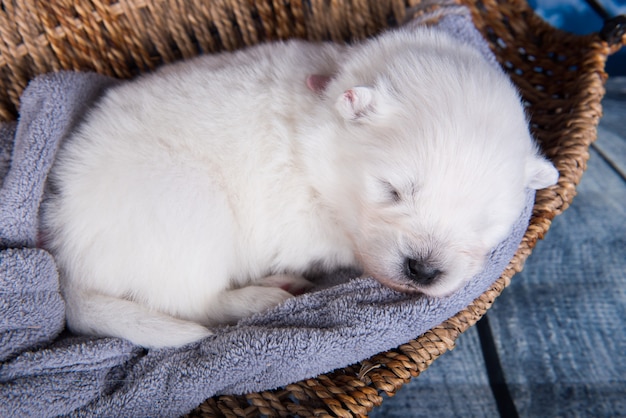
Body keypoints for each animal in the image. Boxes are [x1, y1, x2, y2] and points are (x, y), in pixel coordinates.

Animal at [39, 23, 556, 350]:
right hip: (190, 206)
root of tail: (67, 264)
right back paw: (264, 293)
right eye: (391, 190)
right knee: (195, 303)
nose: (424, 271)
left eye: (483, 223)